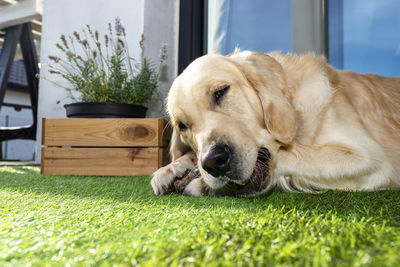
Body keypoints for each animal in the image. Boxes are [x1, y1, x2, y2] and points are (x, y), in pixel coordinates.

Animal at [151, 51, 400, 197]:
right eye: (182, 126)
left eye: (220, 92)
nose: (213, 161)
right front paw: (171, 169)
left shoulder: (369, 158)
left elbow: (291, 155)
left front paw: (199, 182)